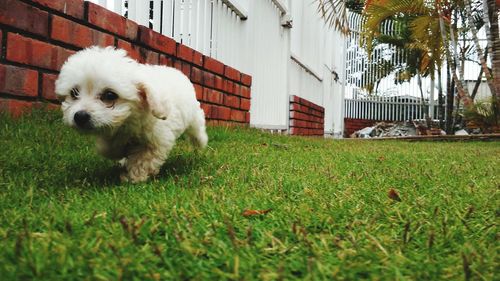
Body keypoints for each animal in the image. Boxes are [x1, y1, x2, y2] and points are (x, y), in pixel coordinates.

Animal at [55, 46, 208, 182]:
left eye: (110, 95)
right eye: (74, 93)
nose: (80, 116)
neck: (129, 119)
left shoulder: (157, 140)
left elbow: (143, 160)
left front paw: (132, 178)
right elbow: (109, 148)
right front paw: (122, 157)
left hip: (194, 116)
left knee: (197, 128)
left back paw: (201, 142)